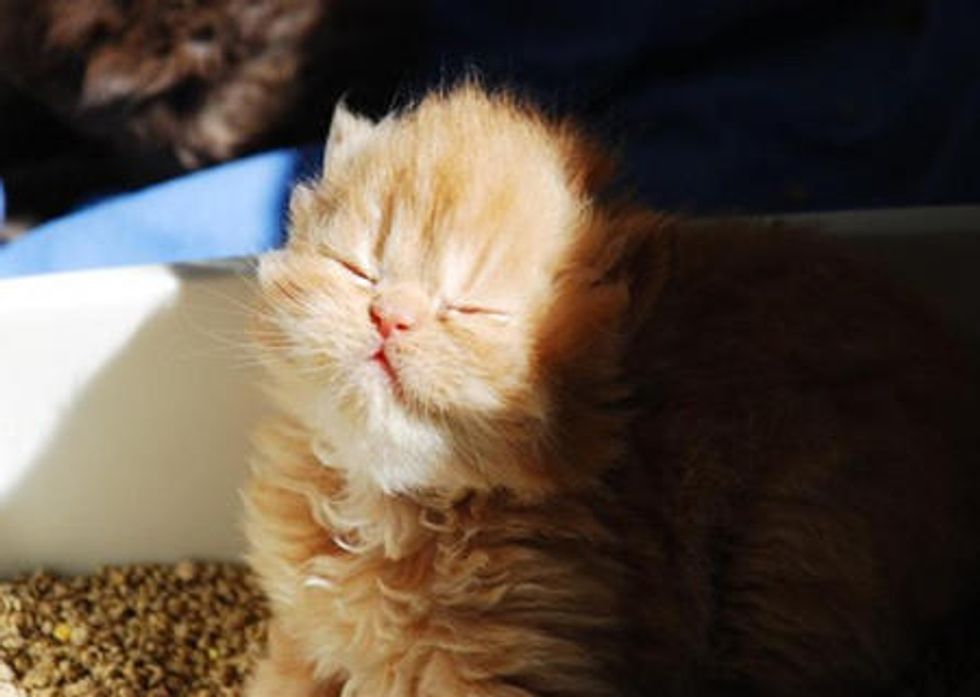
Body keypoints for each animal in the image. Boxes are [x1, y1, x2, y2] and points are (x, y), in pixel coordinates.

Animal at [243, 84, 980, 692]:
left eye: (474, 310)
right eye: (357, 269)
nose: (390, 316)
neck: (394, 510)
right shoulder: (307, 641)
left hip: (795, 563)